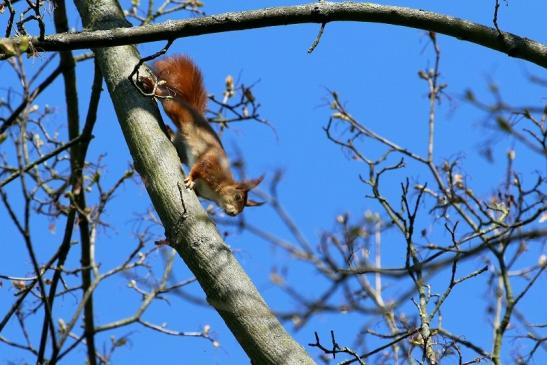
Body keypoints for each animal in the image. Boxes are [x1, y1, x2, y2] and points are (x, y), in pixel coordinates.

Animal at [139, 56, 264, 216]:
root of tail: (195, 111)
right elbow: (199, 167)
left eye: (242, 209)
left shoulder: (202, 190)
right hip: (178, 110)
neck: (217, 191)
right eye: (238, 197)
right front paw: (191, 179)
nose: (234, 214)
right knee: (168, 99)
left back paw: (169, 132)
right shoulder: (211, 163)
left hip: (181, 147)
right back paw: (151, 85)